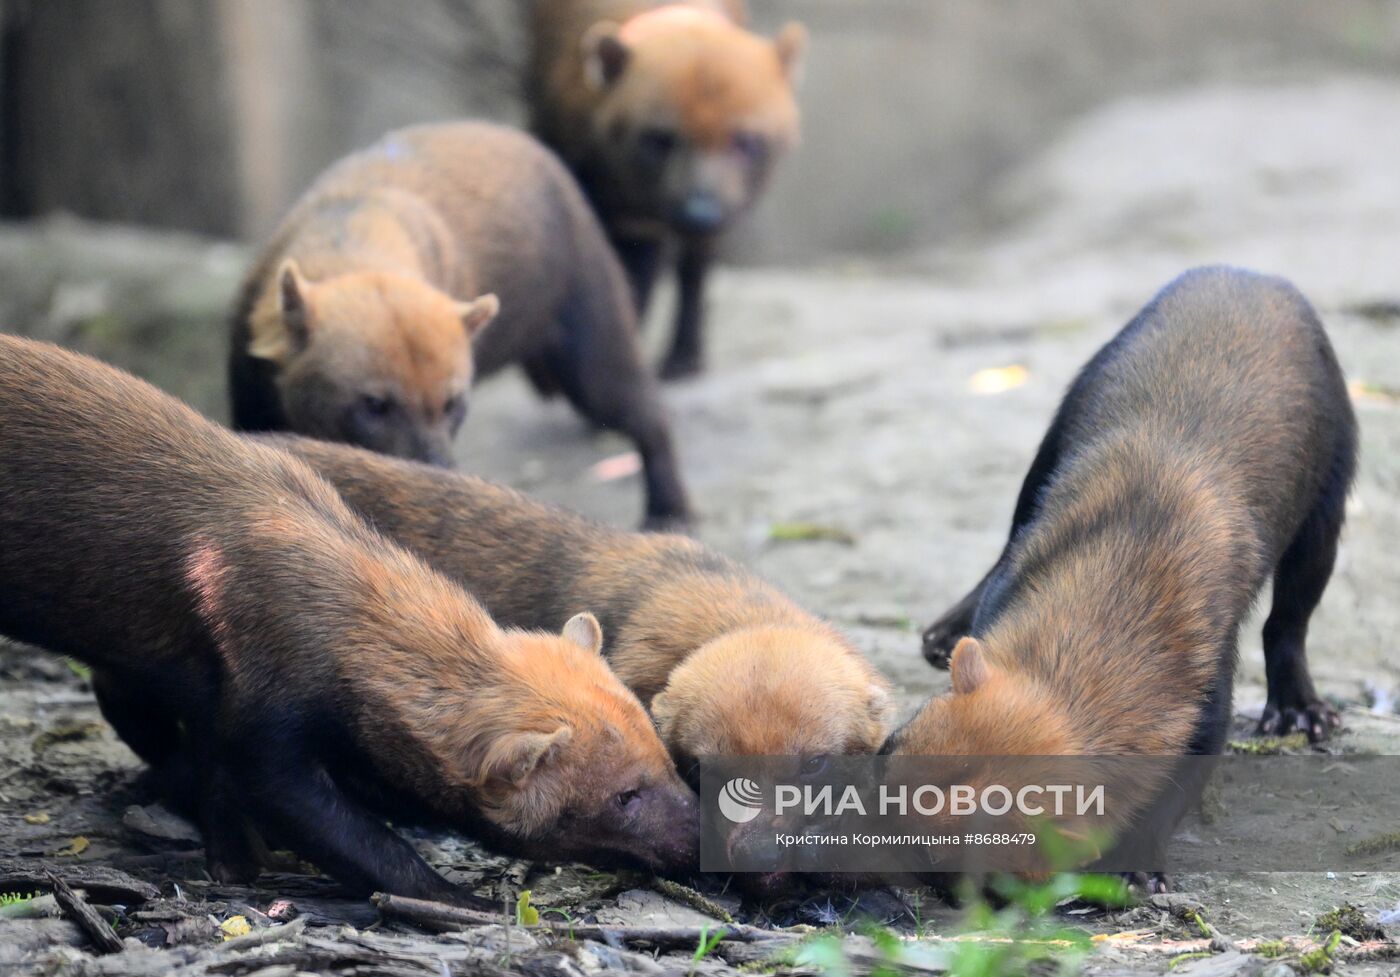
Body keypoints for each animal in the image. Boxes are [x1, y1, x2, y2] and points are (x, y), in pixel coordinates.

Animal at [0, 334, 700, 895]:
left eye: (665, 756)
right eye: (624, 796)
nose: (701, 838)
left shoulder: (207, 700)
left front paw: (233, 857)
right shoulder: (265, 731)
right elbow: (353, 838)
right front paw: (458, 901)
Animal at [232, 121, 691, 529]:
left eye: (452, 402)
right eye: (374, 403)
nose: (436, 470)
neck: (353, 228)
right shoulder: (250, 385)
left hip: (583, 297)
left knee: (625, 391)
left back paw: (669, 509)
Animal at [896, 268, 1355, 884]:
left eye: (949, 862)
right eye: (888, 747)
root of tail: (1250, 273)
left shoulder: (1210, 699)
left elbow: (1174, 790)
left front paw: (1137, 867)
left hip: (1325, 516)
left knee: (1288, 623)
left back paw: (1299, 711)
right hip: (1048, 448)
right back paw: (945, 634)